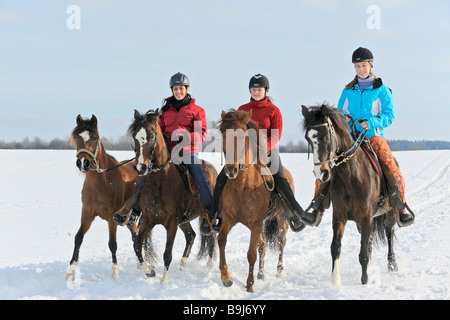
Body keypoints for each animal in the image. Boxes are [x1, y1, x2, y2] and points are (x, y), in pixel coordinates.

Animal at [67, 115, 139, 282]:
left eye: (95, 137)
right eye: (77, 137)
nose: (83, 163)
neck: (102, 183)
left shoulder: (112, 218)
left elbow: (112, 244)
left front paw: (115, 273)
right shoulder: (87, 214)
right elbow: (78, 238)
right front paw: (72, 272)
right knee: (136, 235)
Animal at [128, 109, 218, 284]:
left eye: (152, 135)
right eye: (134, 136)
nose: (140, 167)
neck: (160, 181)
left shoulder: (171, 223)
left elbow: (167, 253)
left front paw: (163, 281)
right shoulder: (148, 220)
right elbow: (137, 246)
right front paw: (150, 271)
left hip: (206, 216)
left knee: (211, 236)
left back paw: (210, 266)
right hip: (184, 220)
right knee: (191, 236)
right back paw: (183, 265)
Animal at [217, 110, 292, 292]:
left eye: (241, 136)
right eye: (223, 135)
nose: (231, 170)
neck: (243, 185)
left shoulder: (256, 224)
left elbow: (251, 254)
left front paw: (249, 285)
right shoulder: (229, 219)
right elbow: (221, 240)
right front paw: (226, 277)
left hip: (281, 221)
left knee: (281, 243)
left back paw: (279, 271)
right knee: (263, 247)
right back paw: (260, 274)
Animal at [300, 104, 400, 284]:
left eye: (325, 137)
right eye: (308, 139)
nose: (321, 173)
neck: (351, 176)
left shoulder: (366, 217)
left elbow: (363, 253)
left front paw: (365, 280)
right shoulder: (340, 216)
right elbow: (336, 247)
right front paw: (335, 279)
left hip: (390, 213)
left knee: (389, 233)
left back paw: (392, 264)